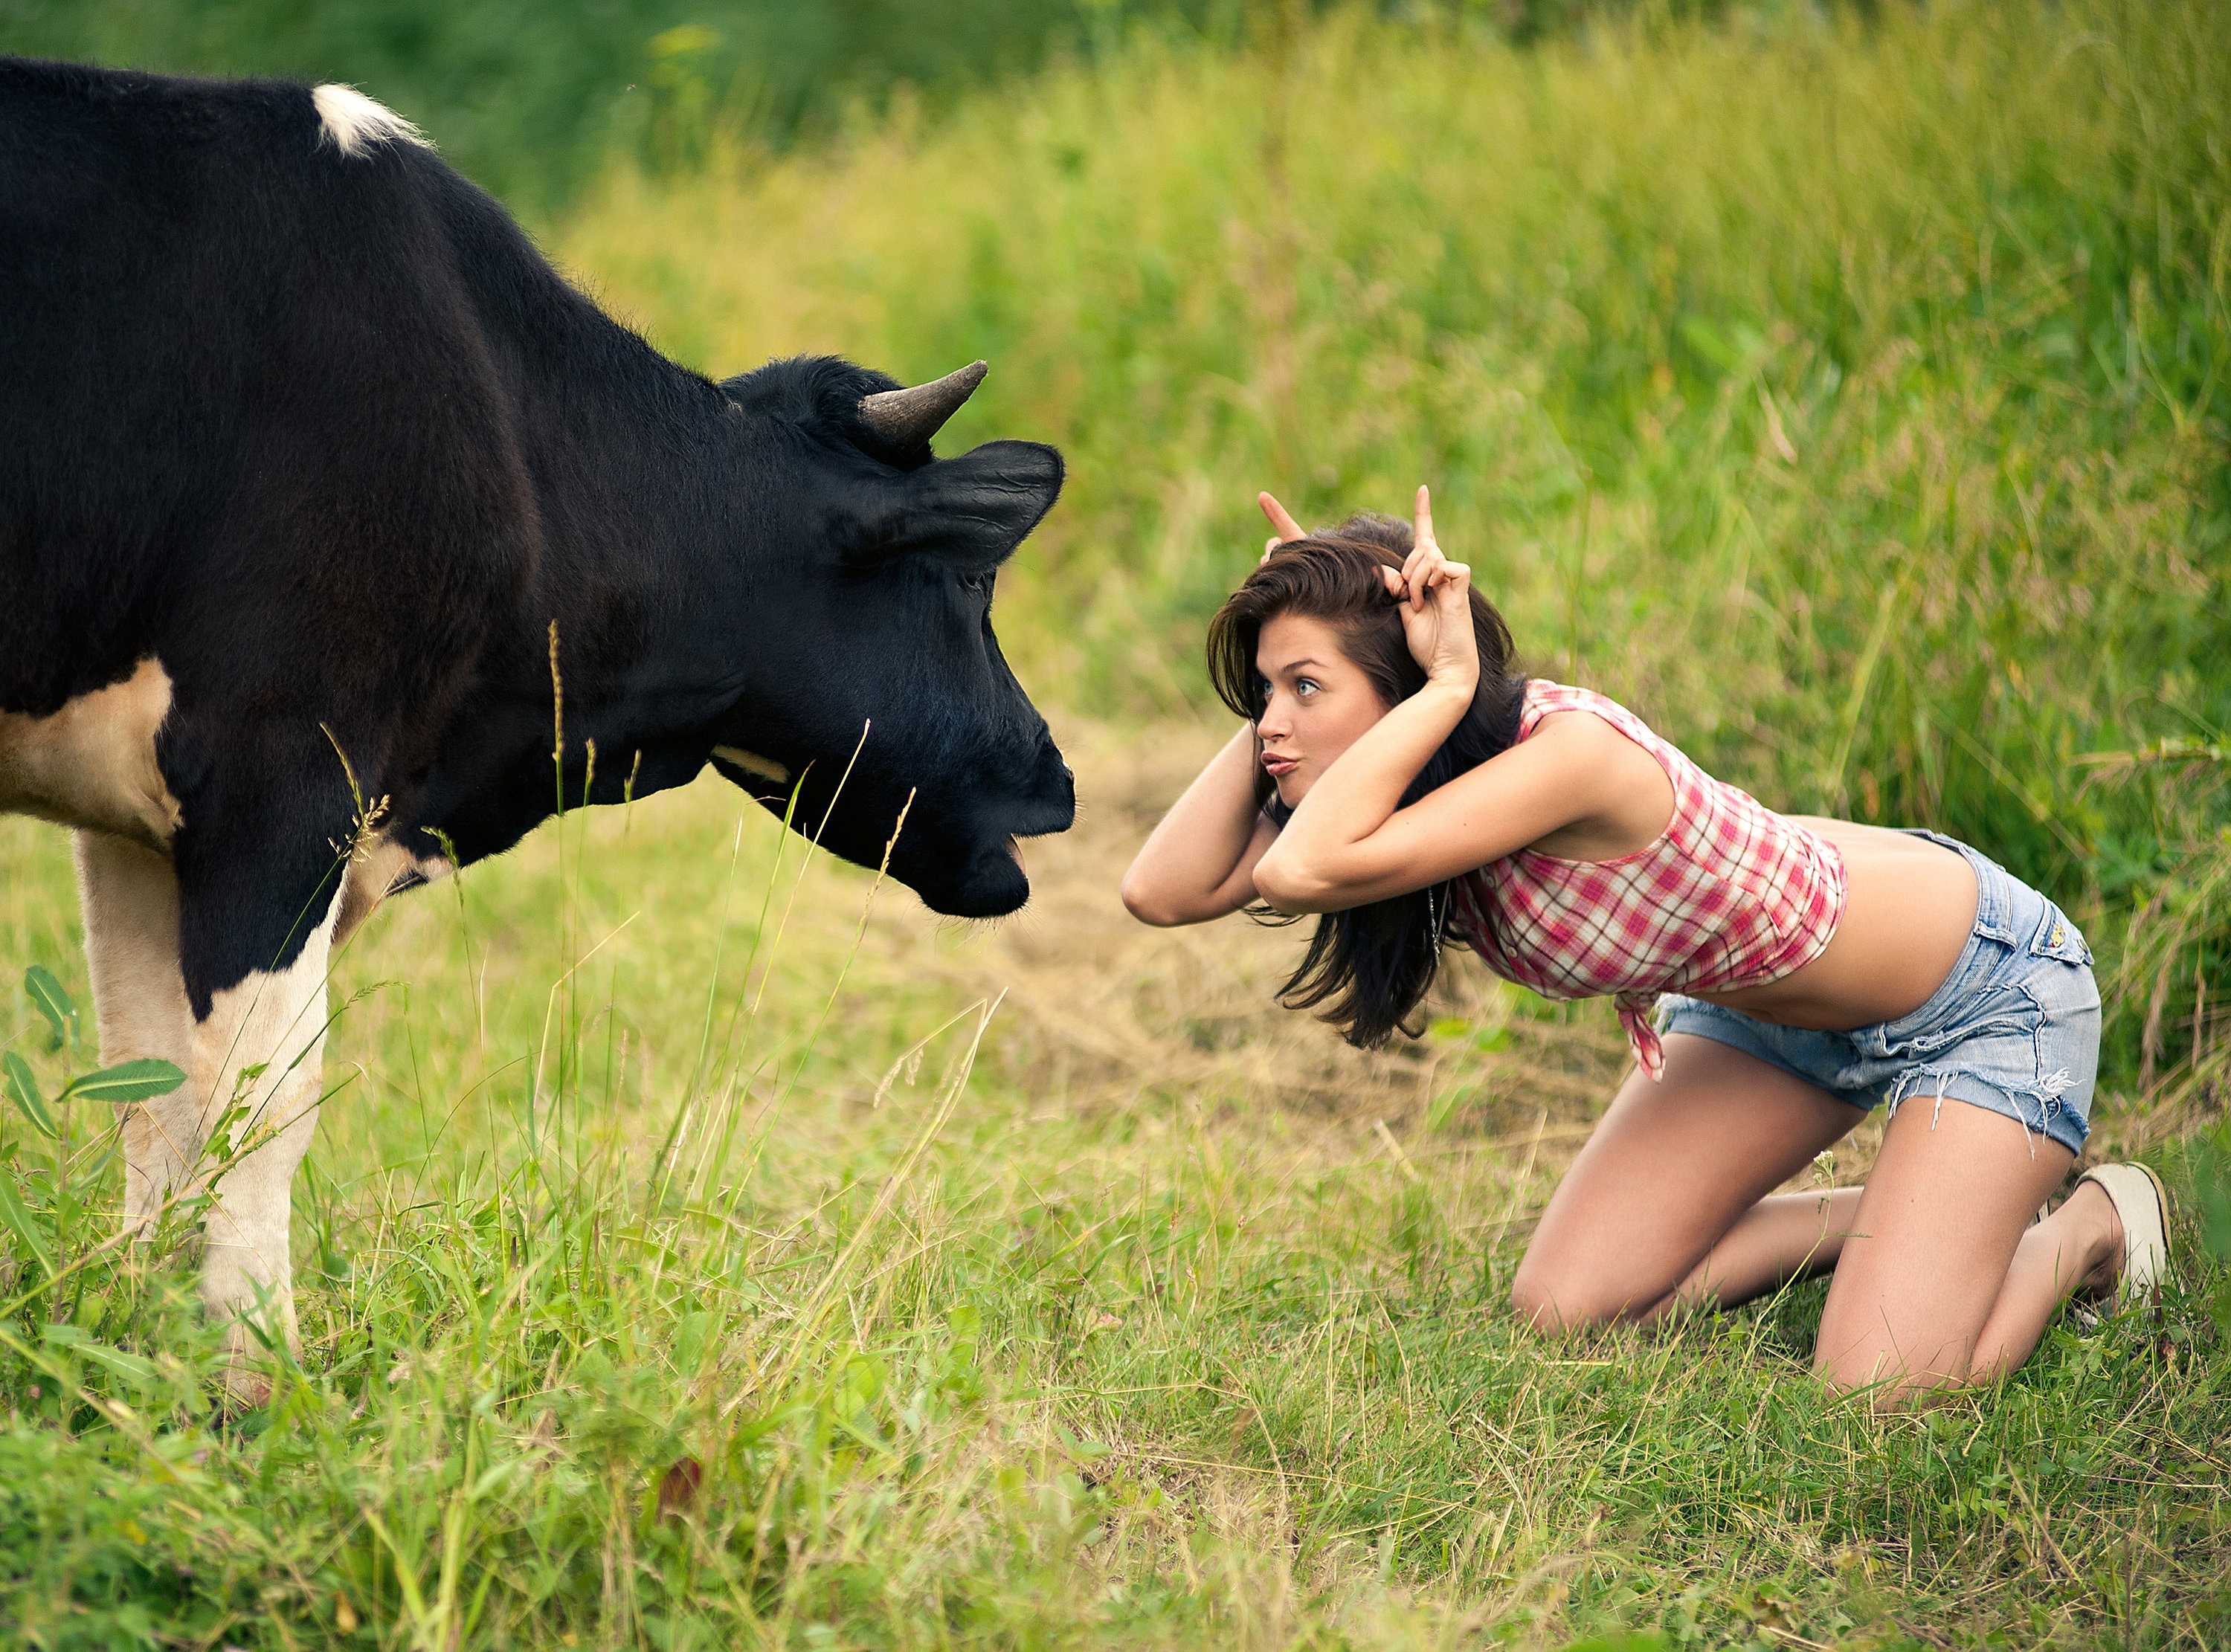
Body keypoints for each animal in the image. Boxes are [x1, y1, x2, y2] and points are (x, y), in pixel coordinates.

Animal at [0, 61, 1080, 1391]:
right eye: (970, 582)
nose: (1057, 774)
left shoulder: (135, 819)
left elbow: (149, 1084)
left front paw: (145, 1342)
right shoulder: (282, 771)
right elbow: (263, 1101)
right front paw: (256, 1376)